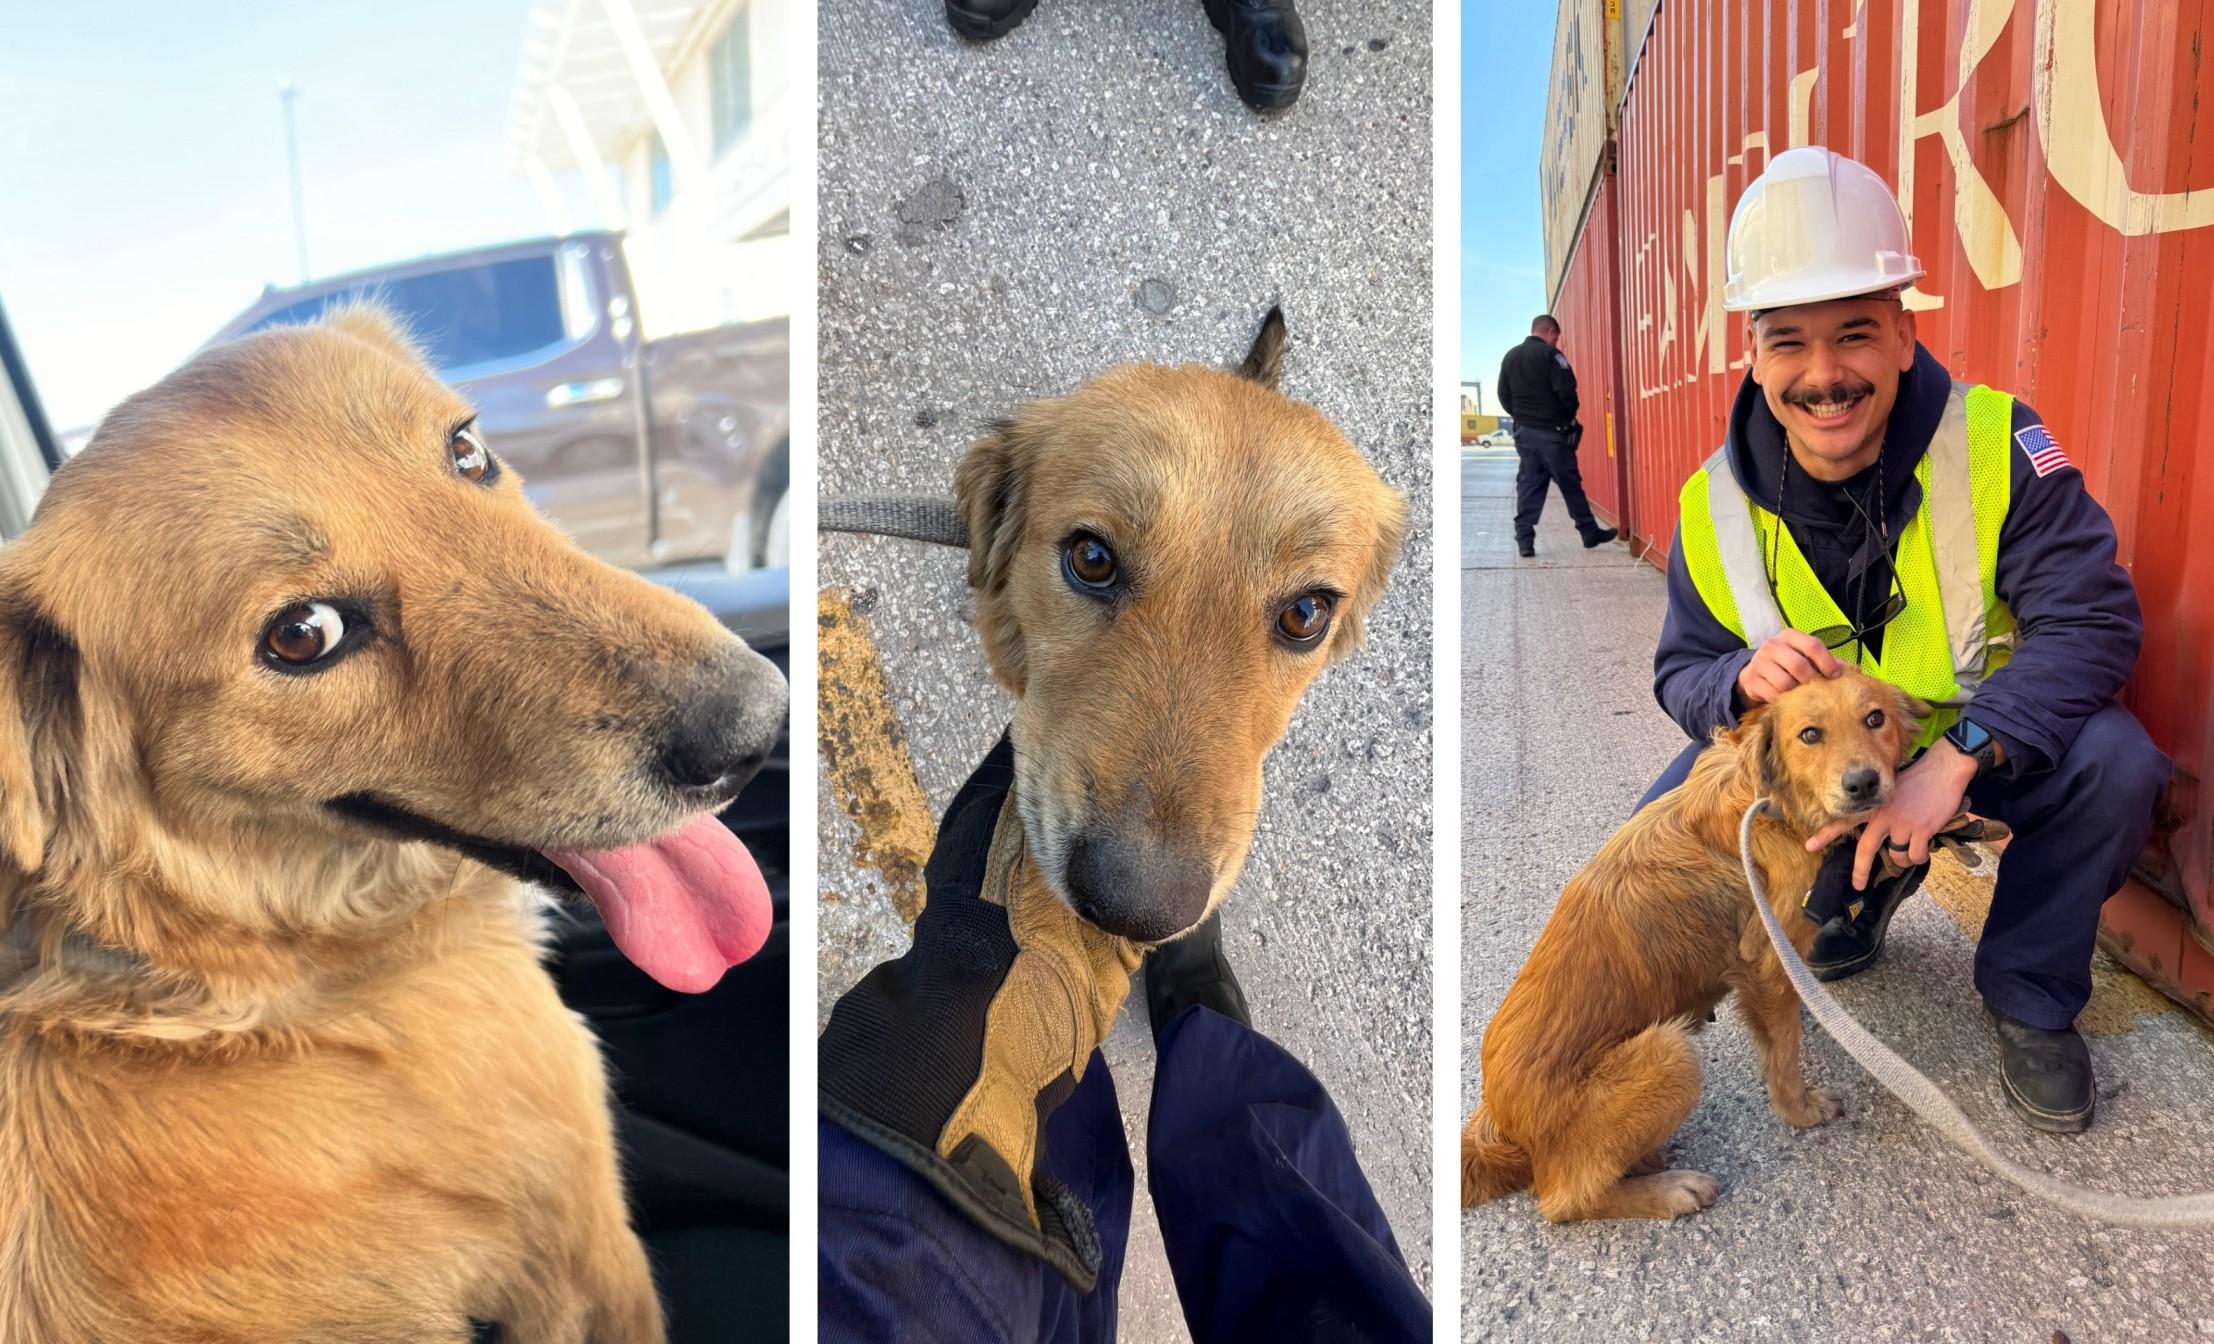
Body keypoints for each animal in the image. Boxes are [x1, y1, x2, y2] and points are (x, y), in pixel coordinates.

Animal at [1452, 668, 1921, 1222]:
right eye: (1810, 735)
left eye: (1875, 719)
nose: (1864, 783)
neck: (1767, 803)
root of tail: (1498, 1124)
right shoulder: (1769, 963)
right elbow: (1784, 1054)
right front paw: (1801, 1110)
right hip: (1670, 1053)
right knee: (1563, 1200)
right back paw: (1669, 1190)